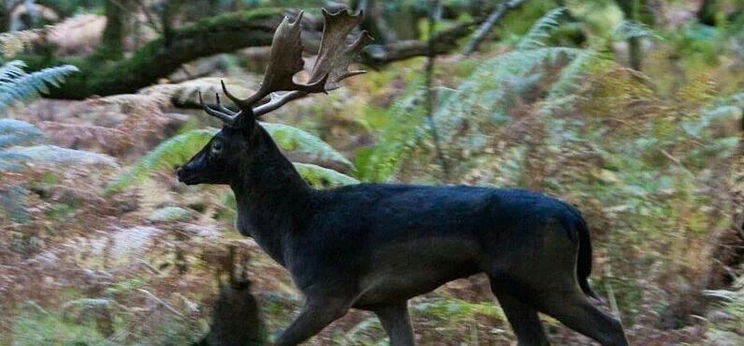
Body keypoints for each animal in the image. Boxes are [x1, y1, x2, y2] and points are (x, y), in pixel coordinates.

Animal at [177, 8, 632, 346]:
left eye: (217, 144)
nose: (182, 169)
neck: (294, 227)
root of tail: (573, 216)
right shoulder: (388, 299)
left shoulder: (329, 290)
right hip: (512, 283)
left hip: (540, 273)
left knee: (611, 326)